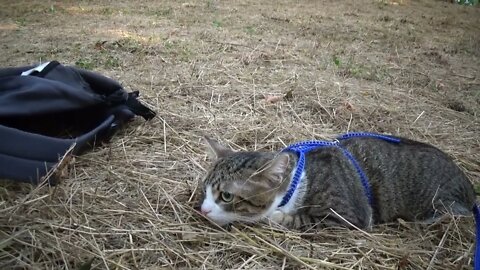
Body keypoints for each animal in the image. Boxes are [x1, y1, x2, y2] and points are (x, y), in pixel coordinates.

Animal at [199, 134, 476, 229]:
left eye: (226, 196)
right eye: (205, 189)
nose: (203, 210)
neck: (298, 179)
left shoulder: (349, 216)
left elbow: (302, 219)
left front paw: (276, 217)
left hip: (444, 203)